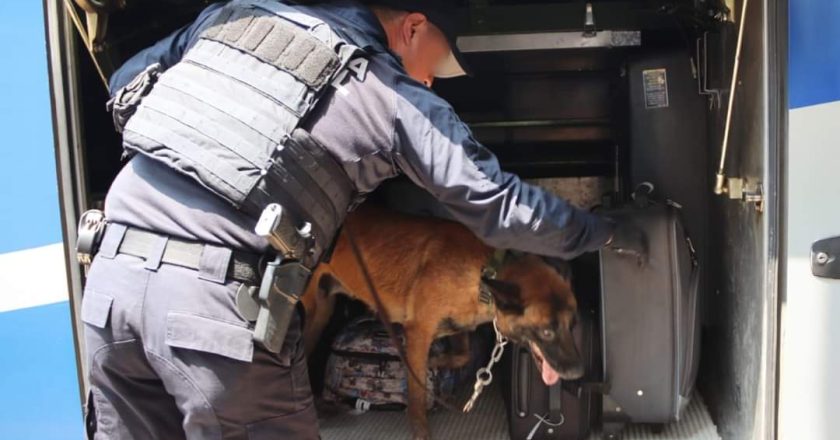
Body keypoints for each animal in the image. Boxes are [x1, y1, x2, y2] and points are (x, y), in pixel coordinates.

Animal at [302, 205, 584, 440]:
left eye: (573, 325)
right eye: (546, 332)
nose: (578, 373)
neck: (483, 275)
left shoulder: (458, 327)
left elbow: (462, 355)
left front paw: (438, 362)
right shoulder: (417, 334)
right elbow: (416, 396)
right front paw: (421, 431)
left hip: (322, 312)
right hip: (311, 311)